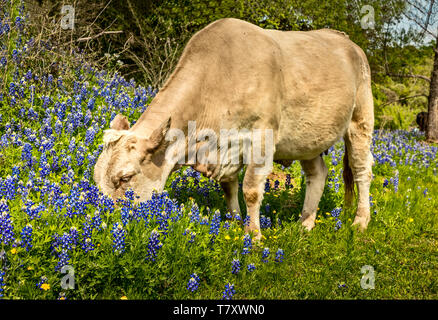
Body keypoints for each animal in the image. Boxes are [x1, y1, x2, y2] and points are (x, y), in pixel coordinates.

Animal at [94, 16, 374, 238]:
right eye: (96, 179)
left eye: (125, 178)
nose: (107, 220)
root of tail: (345, 40)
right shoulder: (227, 148)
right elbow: (229, 188)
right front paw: (235, 224)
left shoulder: (261, 139)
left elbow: (250, 189)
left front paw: (254, 236)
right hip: (308, 138)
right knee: (317, 174)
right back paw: (305, 224)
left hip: (360, 122)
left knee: (362, 171)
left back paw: (360, 222)